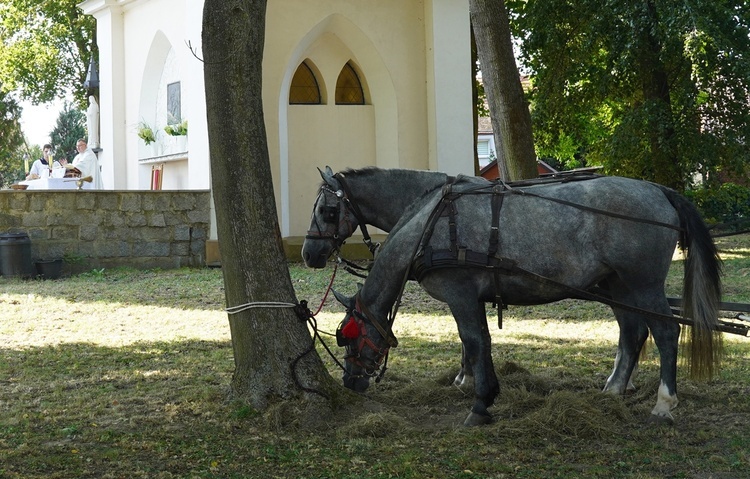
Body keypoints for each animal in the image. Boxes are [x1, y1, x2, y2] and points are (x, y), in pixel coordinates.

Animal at [328, 173, 724, 428]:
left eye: (346, 337)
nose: (349, 382)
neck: (431, 227)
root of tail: (659, 189)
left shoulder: (460, 294)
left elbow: (473, 341)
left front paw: (479, 405)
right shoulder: (474, 297)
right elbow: (483, 341)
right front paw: (486, 394)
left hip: (642, 285)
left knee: (666, 333)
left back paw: (664, 404)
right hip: (620, 287)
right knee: (632, 333)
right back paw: (613, 391)